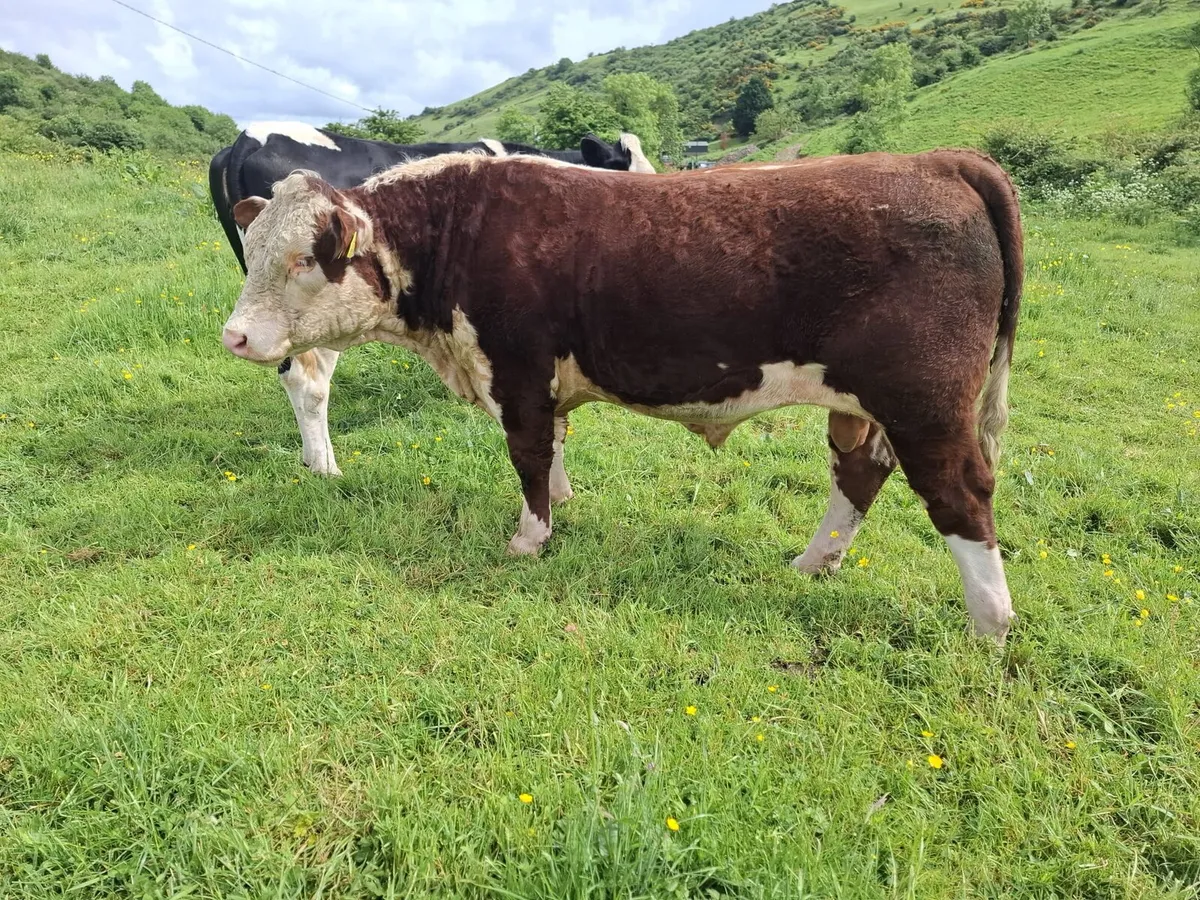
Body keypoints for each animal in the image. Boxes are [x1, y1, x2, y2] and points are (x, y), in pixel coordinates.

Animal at [220, 148, 1024, 642]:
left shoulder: (516, 369)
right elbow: (553, 450)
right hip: (864, 403)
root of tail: (939, 159)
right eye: (251, 252)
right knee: (860, 472)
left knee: (961, 492)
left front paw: (530, 539)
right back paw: (811, 565)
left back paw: (989, 626)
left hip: (925, 400)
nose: (234, 336)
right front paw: (562, 507)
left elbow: (527, 454)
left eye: (304, 258)